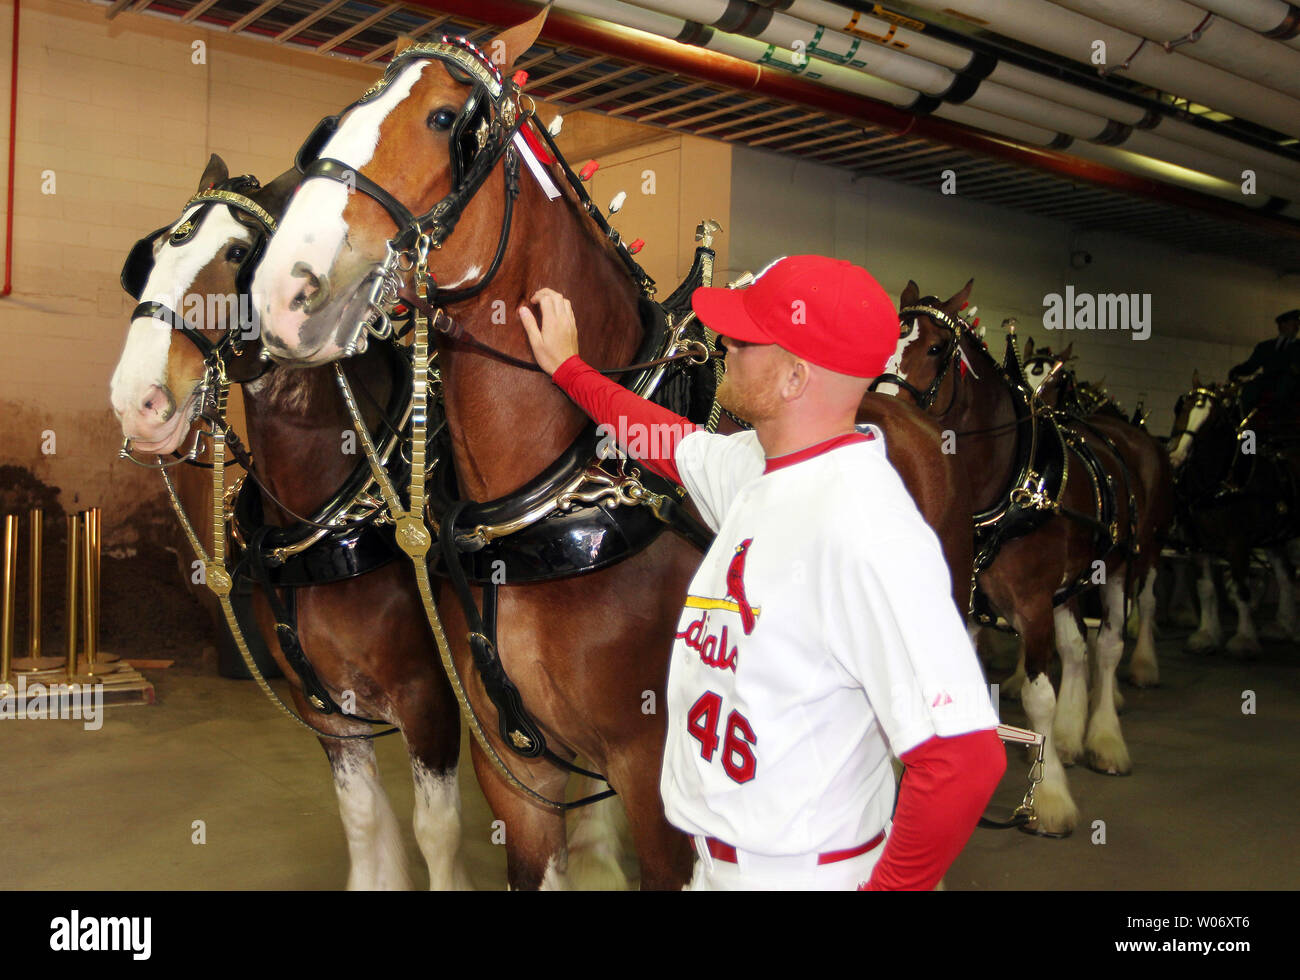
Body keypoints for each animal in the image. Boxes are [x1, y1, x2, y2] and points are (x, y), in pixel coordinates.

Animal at [107, 150, 473, 883]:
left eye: (238, 252)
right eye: (153, 255)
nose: (136, 402)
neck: (334, 512)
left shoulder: (431, 700)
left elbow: (437, 833)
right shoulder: (326, 709)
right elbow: (365, 826)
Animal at [248, 13, 972, 883]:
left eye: (445, 119)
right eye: (331, 126)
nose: (283, 295)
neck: (552, 501)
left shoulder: (658, 776)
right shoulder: (511, 769)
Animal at [873, 276, 1170, 831]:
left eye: (937, 348)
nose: (879, 416)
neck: (1005, 483)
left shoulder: (1032, 605)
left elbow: (1038, 696)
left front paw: (1049, 798)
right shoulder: (962, 602)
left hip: (1120, 567)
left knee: (1107, 647)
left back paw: (1104, 737)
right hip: (1068, 588)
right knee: (1075, 651)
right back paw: (1070, 737)